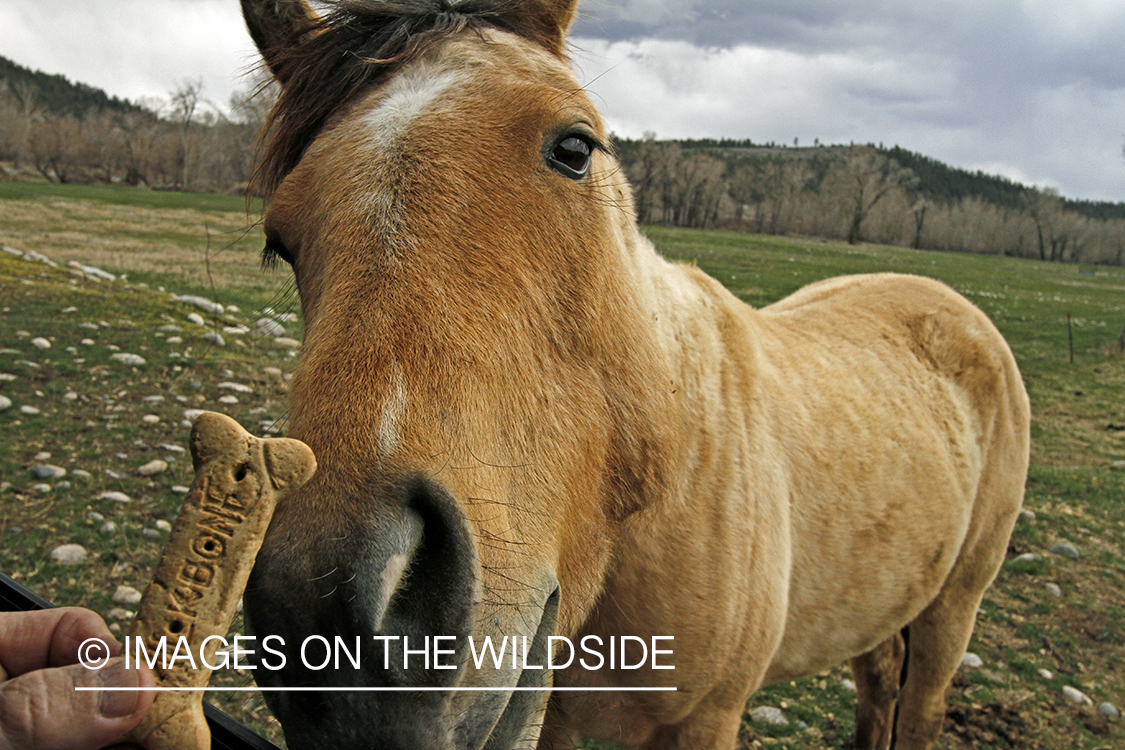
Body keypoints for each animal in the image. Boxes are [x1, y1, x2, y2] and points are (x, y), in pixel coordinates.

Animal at [237, 2, 1030, 746]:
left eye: (574, 147)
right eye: (279, 240)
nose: (344, 630)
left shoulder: (708, 720)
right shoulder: (553, 719)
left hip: (953, 606)